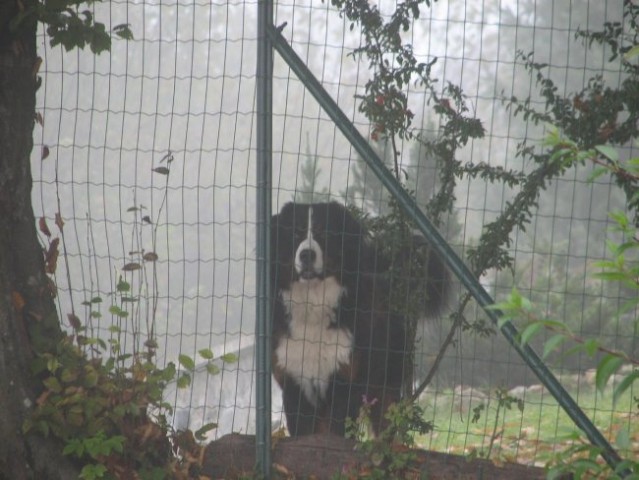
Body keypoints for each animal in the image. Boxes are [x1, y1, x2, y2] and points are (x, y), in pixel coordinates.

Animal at [270, 201, 444, 436]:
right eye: (296, 233)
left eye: (325, 233)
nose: (306, 255)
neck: (314, 306)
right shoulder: (294, 381)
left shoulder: (346, 381)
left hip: (385, 384)